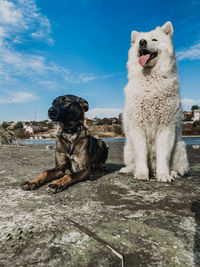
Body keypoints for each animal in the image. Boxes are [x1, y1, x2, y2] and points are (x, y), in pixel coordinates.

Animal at [120, 22, 189, 183]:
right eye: (140, 41)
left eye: (154, 39)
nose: (142, 42)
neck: (150, 80)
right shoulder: (138, 127)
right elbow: (141, 155)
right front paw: (141, 174)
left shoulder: (166, 128)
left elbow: (163, 155)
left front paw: (164, 175)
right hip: (128, 148)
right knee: (132, 163)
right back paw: (129, 170)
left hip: (179, 148)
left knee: (179, 168)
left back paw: (171, 173)